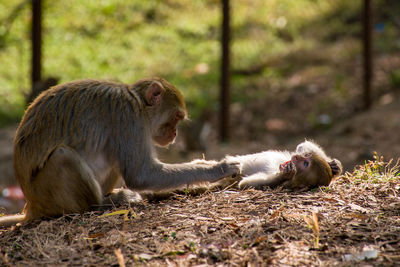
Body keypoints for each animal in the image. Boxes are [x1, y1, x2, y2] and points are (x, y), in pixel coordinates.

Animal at [0, 77, 241, 226]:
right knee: (62, 156)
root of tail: (31, 205)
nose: (174, 134)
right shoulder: (129, 119)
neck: (138, 102)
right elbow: (141, 175)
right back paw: (103, 204)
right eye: (176, 118)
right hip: (46, 193)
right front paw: (219, 168)